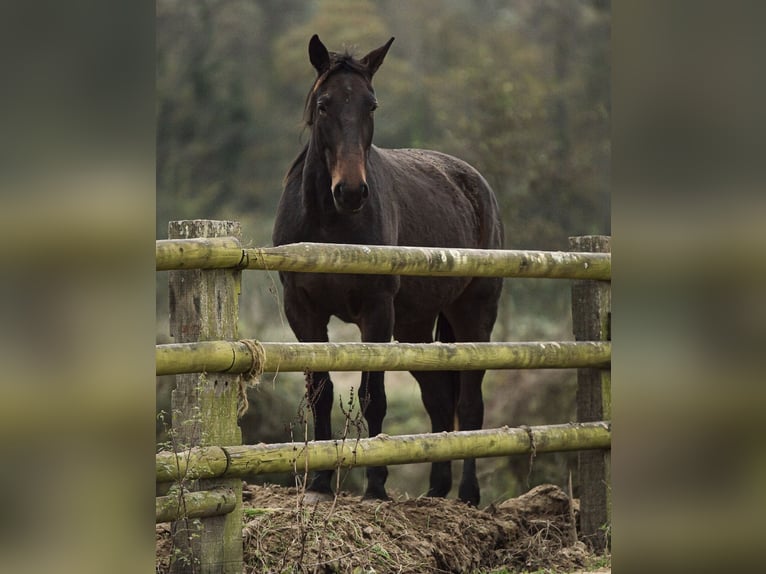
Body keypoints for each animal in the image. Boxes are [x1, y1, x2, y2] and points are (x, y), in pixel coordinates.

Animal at [272, 33, 508, 506]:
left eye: (372, 105)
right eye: (323, 104)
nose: (350, 191)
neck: (330, 228)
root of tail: (475, 182)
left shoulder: (376, 312)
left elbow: (372, 396)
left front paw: (376, 485)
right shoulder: (303, 311)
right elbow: (321, 392)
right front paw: (321, 482)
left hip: (473, 314)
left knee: (470, 402)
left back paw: (467, 493)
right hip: (415, 325)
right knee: (439, 399)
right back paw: (436, 489)